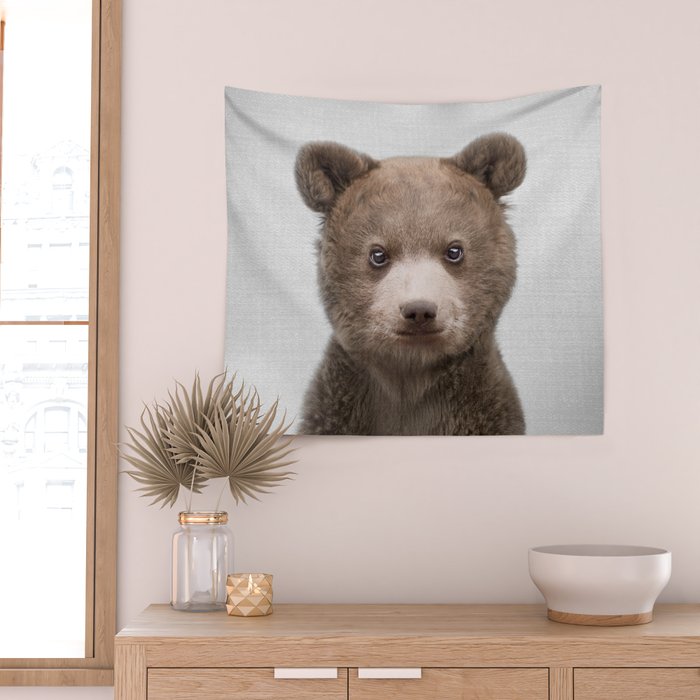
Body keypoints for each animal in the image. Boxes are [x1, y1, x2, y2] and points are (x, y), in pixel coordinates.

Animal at [294, 133, 526, 435]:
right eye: (378, 254)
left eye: (454, 250)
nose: (419, 310)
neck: (410, 375)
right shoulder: (338, 407)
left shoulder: (482, 409)